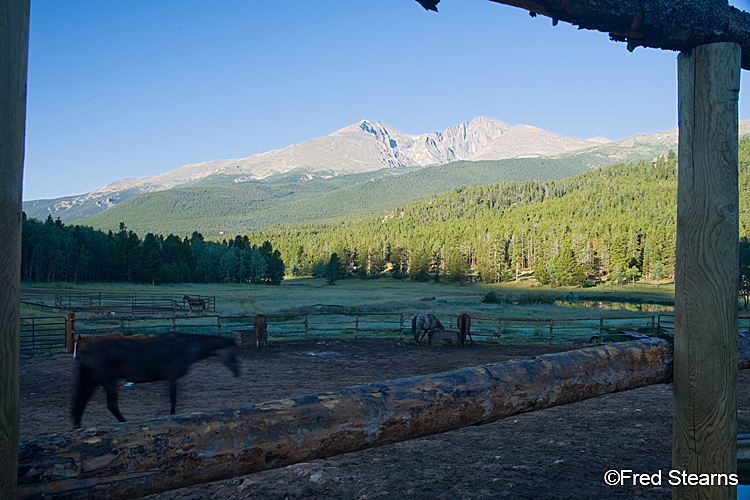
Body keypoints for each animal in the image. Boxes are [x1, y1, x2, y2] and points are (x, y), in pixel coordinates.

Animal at [72, 332, 239, 426]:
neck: (184, 346)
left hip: (92, 382)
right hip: (109, 381)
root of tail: (89, 352)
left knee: (80, 405)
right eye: (234, 353)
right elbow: (173, 401)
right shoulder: (172, 378)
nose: (237, 373)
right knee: (111, 405)